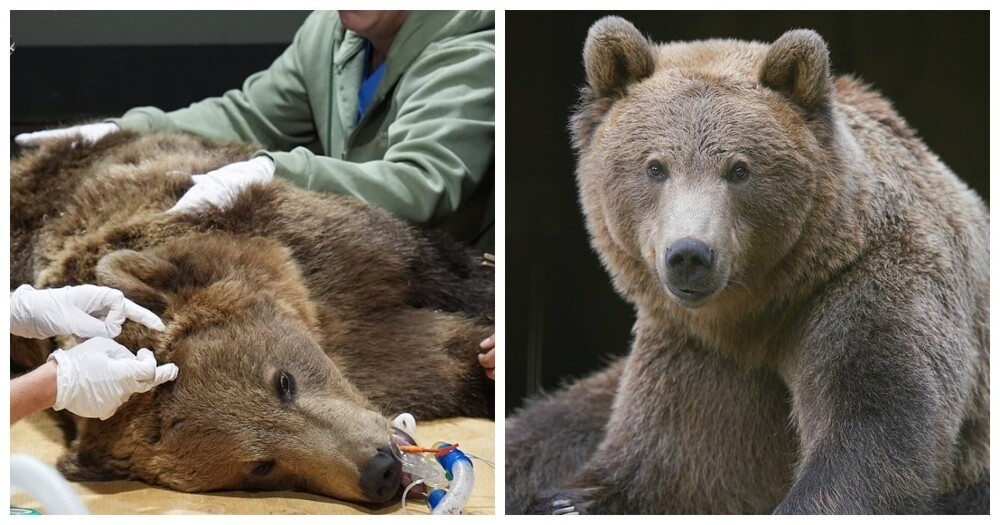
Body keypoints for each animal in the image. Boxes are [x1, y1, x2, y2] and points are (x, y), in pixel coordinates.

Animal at [11, 129, 496, 506]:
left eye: (283, 381)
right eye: (261, 465)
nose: (381, 470)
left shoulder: (336, 256)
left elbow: (446, 280)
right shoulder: (384, 355)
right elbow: (444, 359)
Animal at [504, 18, 988, 512]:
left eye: (739, 169)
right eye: (655, 167)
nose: (689, 254)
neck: (756, 314)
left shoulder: (867, 282)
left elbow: (873, 420)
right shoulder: (697, 353)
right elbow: (668, 461)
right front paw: (565, 500)